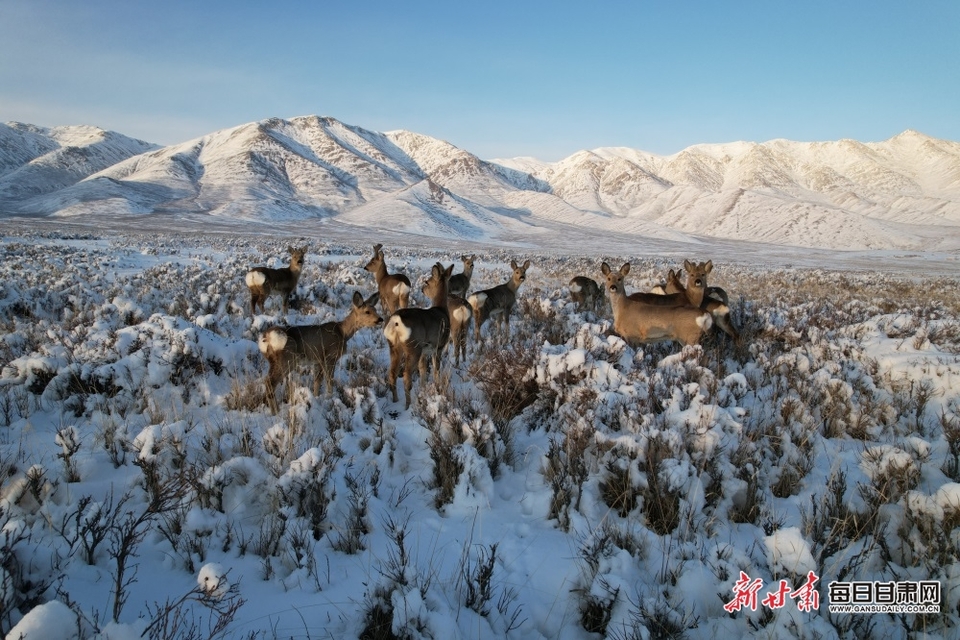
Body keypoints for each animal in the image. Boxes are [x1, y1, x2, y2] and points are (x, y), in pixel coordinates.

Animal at [384, 262, 454, 409]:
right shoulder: (438, 347)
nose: (422, 289)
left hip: (394, 346)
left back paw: (395, 400)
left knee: (392, 373)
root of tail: (396, 321)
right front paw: (437, 387)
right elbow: (436, 369)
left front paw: (423, 389)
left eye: (427, 282)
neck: (442, 309)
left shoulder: (424, 351)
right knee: (406, 375)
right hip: (413, 347)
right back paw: (407, 405)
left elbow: (422, 370)